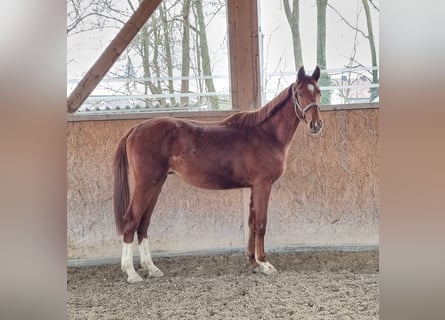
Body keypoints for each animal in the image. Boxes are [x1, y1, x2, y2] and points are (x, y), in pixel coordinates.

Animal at [113, 65, 322, 282]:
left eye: (318, 92)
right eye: (300, 93)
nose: (316, 125)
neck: (266, 134)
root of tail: (136, 129)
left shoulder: (253, 187)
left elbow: (251, 222)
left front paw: (253, 262)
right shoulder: (263, 185)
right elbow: (261, 223)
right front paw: (265, 263)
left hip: (156, 183)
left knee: (143, 223)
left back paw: (151, 268)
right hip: (146, 183)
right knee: (131, 221)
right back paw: (131, 272)